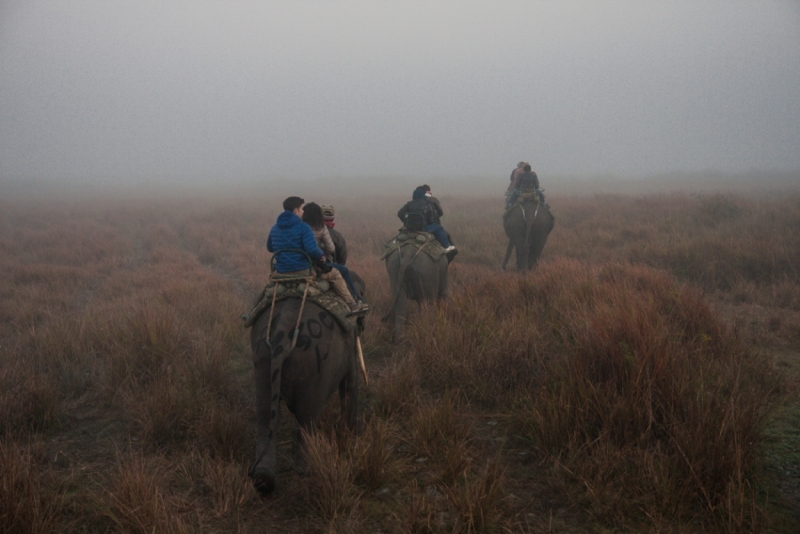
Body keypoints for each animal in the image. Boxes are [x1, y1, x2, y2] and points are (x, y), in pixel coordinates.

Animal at [247, 274, 366, 496]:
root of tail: (283, 333)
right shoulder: (350, 338)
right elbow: (350, 384)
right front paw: (355, 435)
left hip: (261, 356)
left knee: (265, 415)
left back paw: (263, 479)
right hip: (313, 362)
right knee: (307, 417)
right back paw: (307, 470)